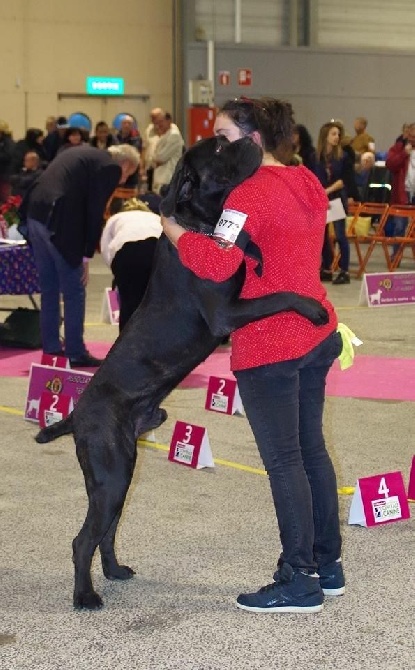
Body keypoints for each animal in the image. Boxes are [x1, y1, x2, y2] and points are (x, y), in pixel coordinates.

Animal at [35, 135, 328, 608]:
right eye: (220, 149)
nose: (248, 139)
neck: (200, 224)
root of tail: (77, 413)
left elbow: (247, 244)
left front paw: (254, 253)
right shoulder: (227, 313)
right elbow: (278, 295)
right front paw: (313, 307)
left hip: (120, 475)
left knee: (106, 532)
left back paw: (114, 571)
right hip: (111, 473)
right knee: (83, 540)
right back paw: (85, 596)